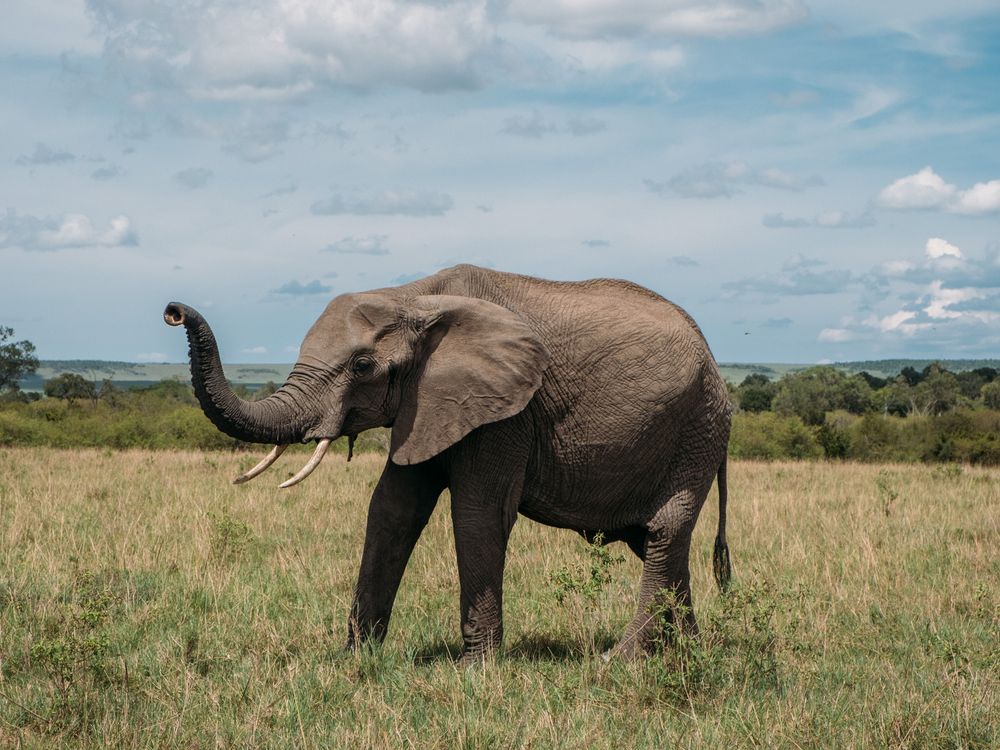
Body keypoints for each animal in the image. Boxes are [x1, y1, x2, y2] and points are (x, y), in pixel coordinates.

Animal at [162, 266, 728, 664]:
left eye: (363, 366)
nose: (172, 310)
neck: (414, 295)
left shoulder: (508, 410)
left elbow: (478, 514)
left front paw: (476, 669)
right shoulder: (428, 401)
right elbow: (392, 509)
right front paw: (354, 660)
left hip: (698, 427)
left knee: (664, 530)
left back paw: (622, 661)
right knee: (655, 541)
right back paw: (687, 652)